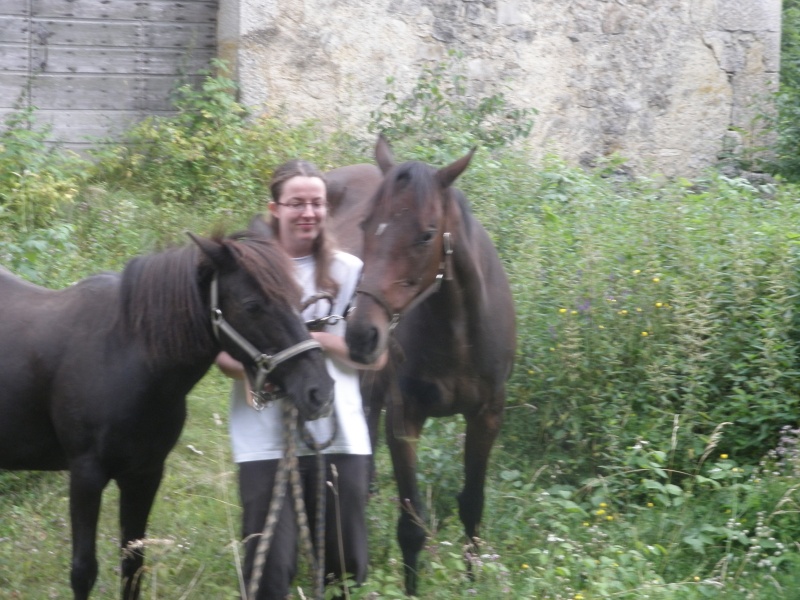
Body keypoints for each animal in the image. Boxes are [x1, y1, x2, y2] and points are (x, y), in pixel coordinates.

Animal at [0, 233, 332, 600]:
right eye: (252, 306)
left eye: (298, 299)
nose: (319, 391)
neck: (125, 356)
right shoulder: (86, 475)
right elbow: (83, 571)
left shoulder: (145, 474)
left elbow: (133, 565)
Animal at [326, 137, 520, 596]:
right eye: (366, 225)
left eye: (427, 234)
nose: (362, 334)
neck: (458, 334)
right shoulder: (405, 417)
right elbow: (412, 524)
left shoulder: (487, 416)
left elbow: (472, 505)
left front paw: (472, 580)